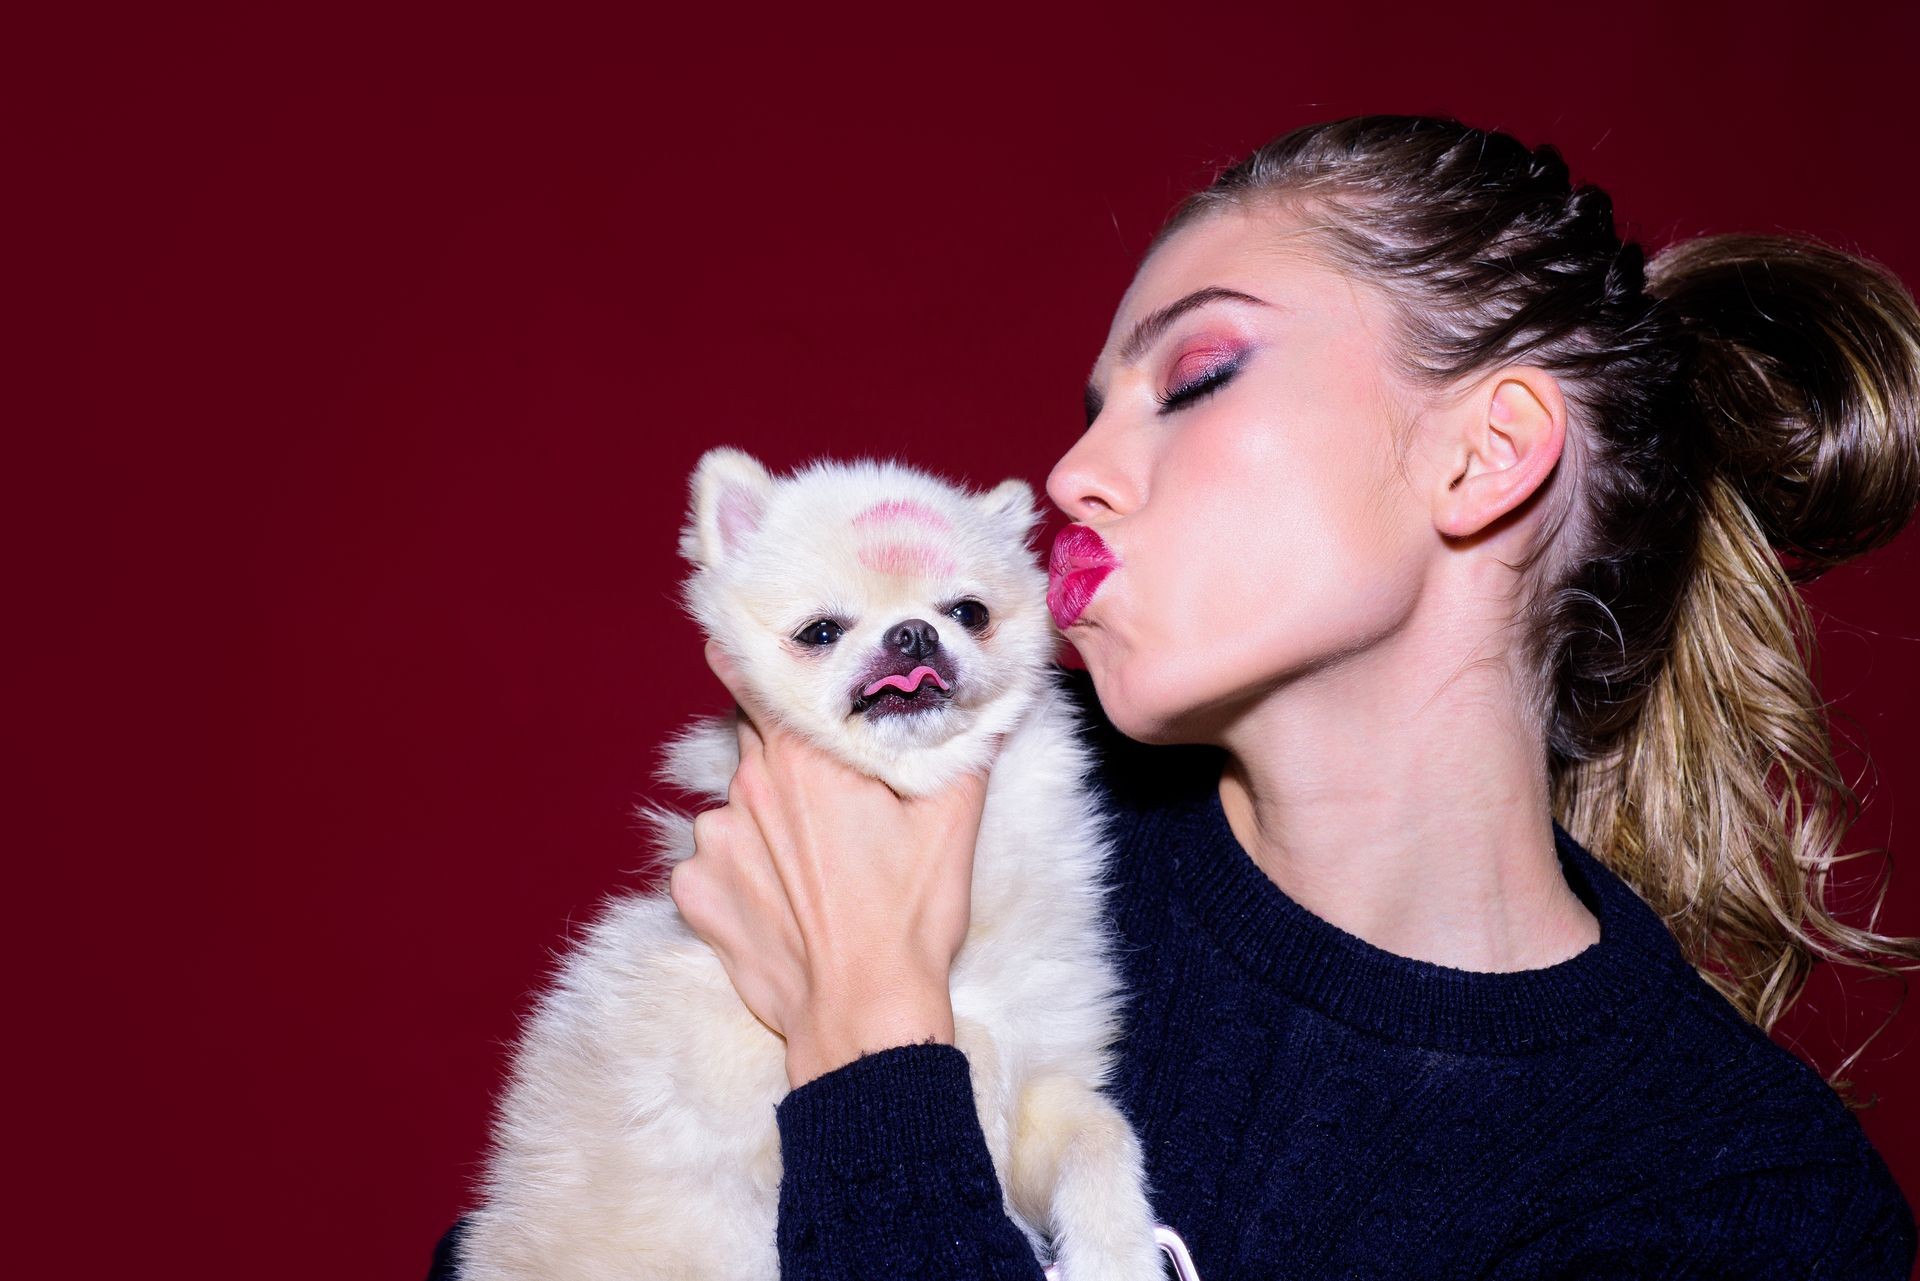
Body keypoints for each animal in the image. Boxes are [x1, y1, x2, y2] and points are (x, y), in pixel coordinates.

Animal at [456, 451, 1159, 1281]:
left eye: (969, 613)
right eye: (820, 631)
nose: (913, 633)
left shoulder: (1049, 1069)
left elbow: (1101, 1128)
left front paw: (1118, 1252)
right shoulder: (731, 1063)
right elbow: (971, 1044)